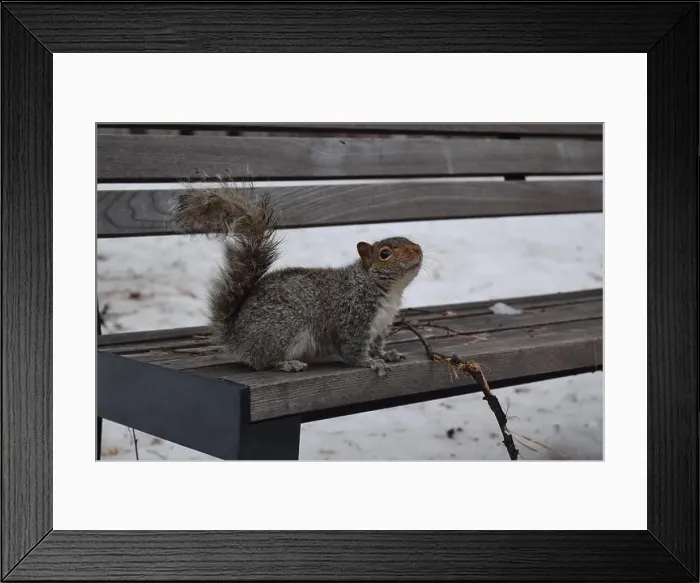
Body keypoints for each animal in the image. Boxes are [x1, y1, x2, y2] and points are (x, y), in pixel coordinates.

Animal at [170, 180, 423, 377]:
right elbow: (353, 351)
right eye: (385, 254)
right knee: (263, 362)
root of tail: (235, 337)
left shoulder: (381, 327)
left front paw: (386, 354)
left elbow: (378, 346)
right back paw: (288, 364)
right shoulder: (352, 318)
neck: (385, 289)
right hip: (283, 329)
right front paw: (371, 362)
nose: (418, 250)